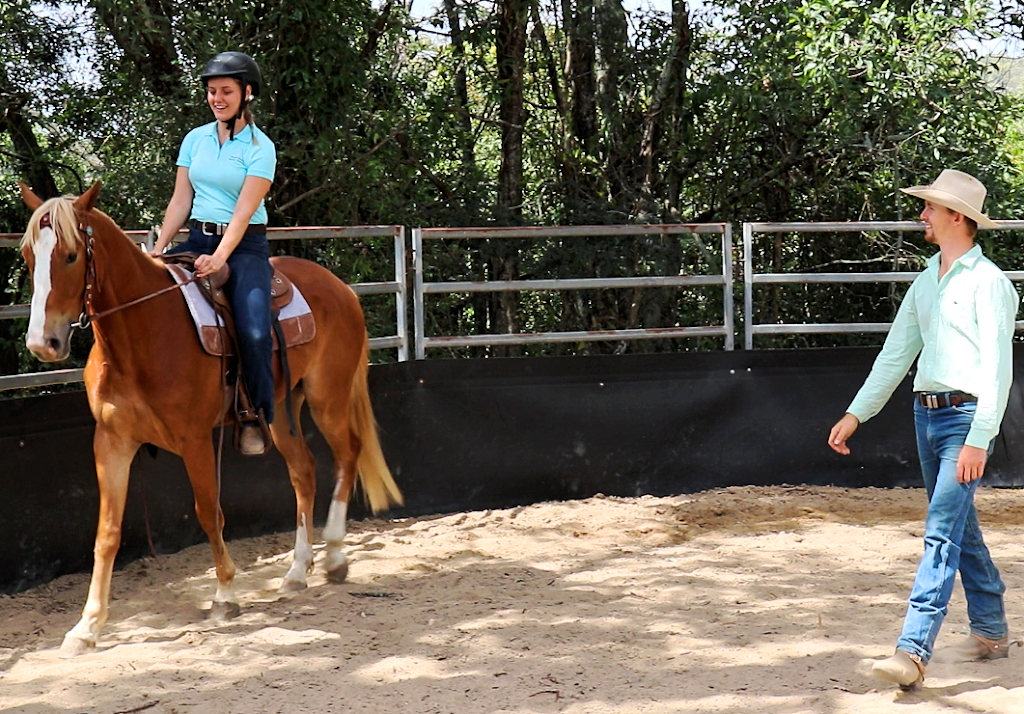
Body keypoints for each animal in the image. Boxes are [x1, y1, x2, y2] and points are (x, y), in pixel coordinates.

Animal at [18, 181, 403, 655]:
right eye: (28, 255)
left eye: (71, 255)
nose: (44, 343)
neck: (142, 332)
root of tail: (341, 289)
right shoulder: (111, 442)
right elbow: (106, 533)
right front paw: (87, 627)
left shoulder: (195, 439)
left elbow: (208, 511)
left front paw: (224, 595)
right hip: (279, 411)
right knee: (304, 471)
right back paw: (297, 572)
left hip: (326, 398)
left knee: (348, 453)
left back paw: (333, 556)